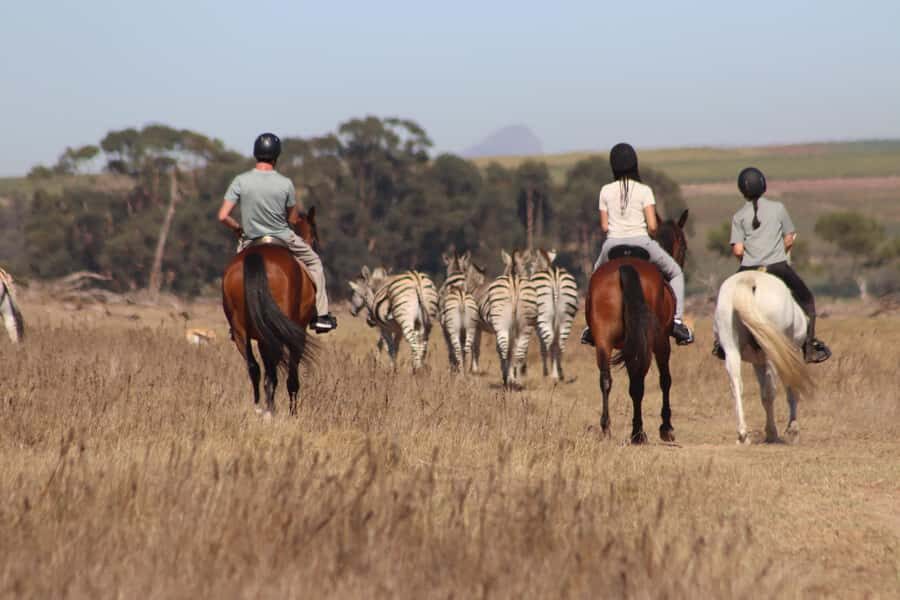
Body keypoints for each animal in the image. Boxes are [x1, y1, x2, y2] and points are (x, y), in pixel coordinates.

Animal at [221, 208, 320, 417]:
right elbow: (292, 376)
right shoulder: (297, 334)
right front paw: (293, 412)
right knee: (275, 373)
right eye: (314, 237)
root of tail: (257, 255)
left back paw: (260, 406)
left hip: (242, 331)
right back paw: (271, 409)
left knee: (254, 368)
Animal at [585, 210, 688, 443]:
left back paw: (606, 429)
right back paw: (638, 433)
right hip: (650, 341)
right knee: (638, 383)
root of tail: (625, 266)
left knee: (606, 379)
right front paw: (666, 427)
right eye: (684, 246)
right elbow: (665, 380)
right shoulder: (662, 343)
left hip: (604, 339)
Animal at [714, 271, 814, 444]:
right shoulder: (790, 357)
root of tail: (749, 279)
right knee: (770, 390)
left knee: (737, 386)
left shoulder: (758, 363)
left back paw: (743, 434)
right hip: (772, 354)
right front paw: (793, 430)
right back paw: (772, 432)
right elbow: (791, 389)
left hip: (731, 349)